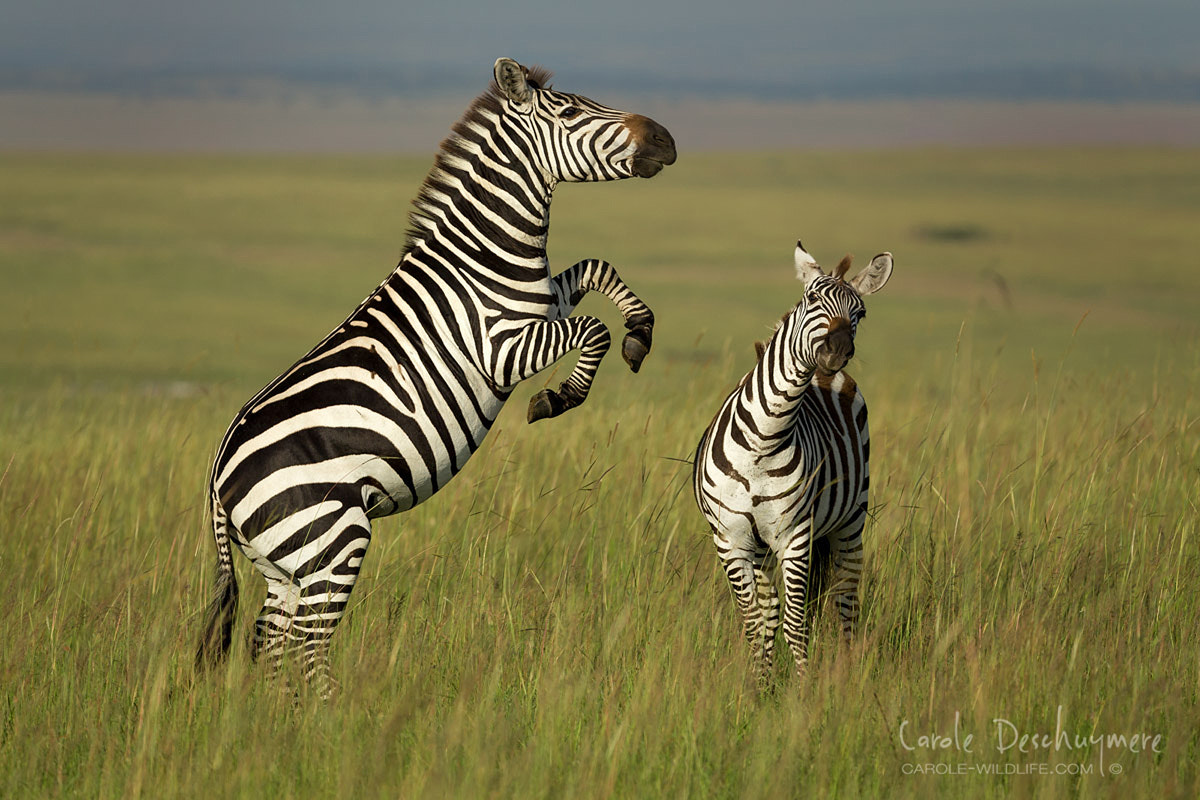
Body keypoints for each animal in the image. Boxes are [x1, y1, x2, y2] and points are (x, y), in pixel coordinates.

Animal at [196, 58, 676, 696]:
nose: (667, 139)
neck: (484, 251)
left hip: (284, 564)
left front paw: (639, 333)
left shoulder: (545, 303)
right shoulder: (503, 347)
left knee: (274, 645)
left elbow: (600, 270)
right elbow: (591, 329)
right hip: (331, 538)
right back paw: (336, 716)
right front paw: (556, 398)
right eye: (574, 111)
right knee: (307, 647)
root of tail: (218, 480)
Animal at [692, 240, 892, 684]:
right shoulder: (730, 538)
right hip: (761, 548)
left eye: (861, 313)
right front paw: (757, 687)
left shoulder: (796, 536)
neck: (762, 443)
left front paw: (803, 690)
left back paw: (847, 673)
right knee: (770, 610)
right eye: (812, 299)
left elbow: (796, 623)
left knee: (846, 601)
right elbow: (756, 621)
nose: (837, 351)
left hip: (851, 522)